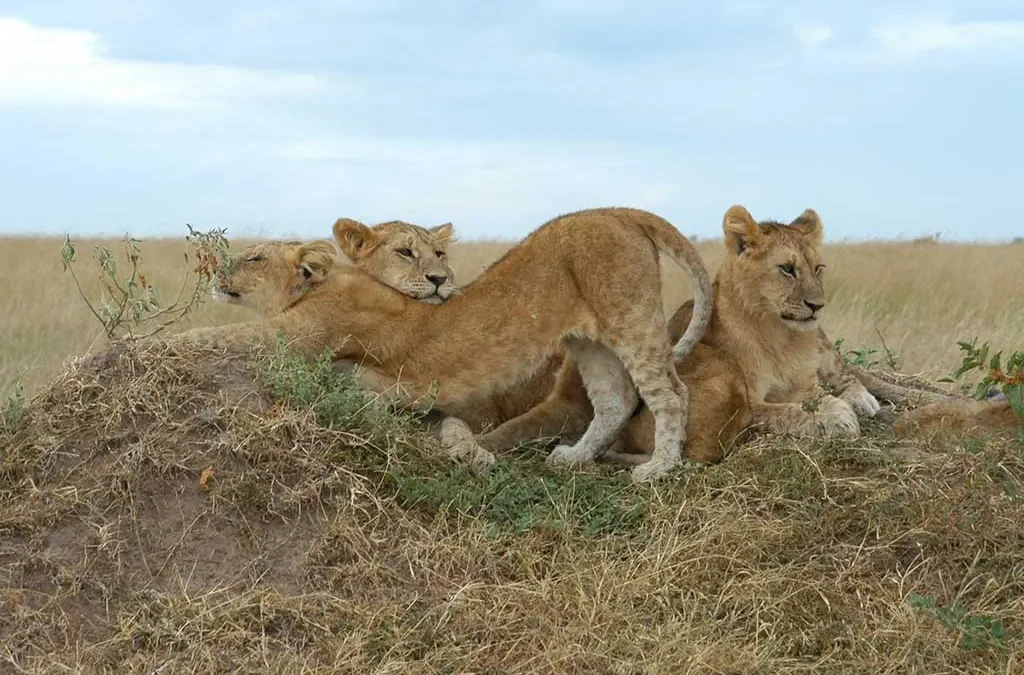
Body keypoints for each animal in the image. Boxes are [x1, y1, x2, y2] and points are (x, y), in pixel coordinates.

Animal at [170, 207, 715, 483]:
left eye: (254, 258)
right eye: (405, 252)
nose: (215, 272)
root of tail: (617, 210)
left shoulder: (301, 331)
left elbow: (219, 335)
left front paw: (158, 345)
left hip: (629, 315)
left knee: (671, 393)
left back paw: (658, 469)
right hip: (588, 341)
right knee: (614, 400)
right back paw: (574, 458)